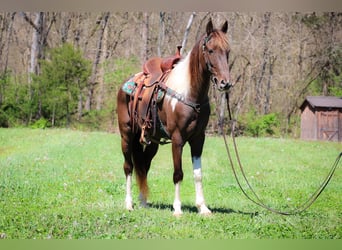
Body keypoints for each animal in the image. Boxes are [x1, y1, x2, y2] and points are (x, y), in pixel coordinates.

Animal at [116, 19, 231, 215]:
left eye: (228, 51)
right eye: (210, 50)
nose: (225, 83)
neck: (189, 93)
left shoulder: (198, 139)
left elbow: (198, 174)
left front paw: (203, 207)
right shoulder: (178, 139)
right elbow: (178, 173)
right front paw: (177, 208)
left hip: (152, 141)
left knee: (144, 166)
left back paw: (143, 201)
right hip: (126, 135)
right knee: (128, 167)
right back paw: (129, 203)